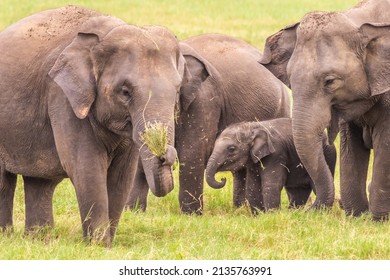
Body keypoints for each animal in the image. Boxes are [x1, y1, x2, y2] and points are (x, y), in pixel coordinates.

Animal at [0, 6, 186, 247]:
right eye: (125, 92)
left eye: (178, 89)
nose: (166, 154)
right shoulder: (62, 97)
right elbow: (86, 168)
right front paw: (98, 246)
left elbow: (121, 176)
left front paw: (107, 245)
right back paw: (8, 236)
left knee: (40, 182)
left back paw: (39, 239)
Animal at [126, 34, 290, 213]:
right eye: (127, 94)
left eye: (173, 95)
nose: (166, 157)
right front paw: (133, 212)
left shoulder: (204, 98)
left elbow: (192, 151)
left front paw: (190, 215)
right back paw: (238, 209)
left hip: (281, 109)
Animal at [206, 117, 336, 212]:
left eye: (231, 149)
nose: (223, 179)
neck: (252, 127)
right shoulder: (252, 160)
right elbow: (253, 186)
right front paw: (259, 215)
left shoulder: (276, 154)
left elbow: (271, 184)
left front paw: (271, 215)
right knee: (297, 191)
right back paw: (293, 213)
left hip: (328, 154)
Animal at [260, 0, 390, 219]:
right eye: (290, 79)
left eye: (329, 81)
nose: (303, 211)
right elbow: (351, 147)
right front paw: (357, 216)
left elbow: (386, 144)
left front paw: (378, 219)